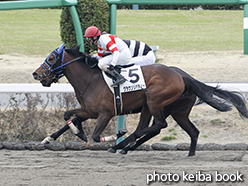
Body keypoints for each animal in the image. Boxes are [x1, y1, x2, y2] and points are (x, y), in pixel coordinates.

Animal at [32, 44, 248, 156]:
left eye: (51, 58)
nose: (36, 74)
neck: (90, 79)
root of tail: (183, 77)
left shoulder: (105, 113)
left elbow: (95, 135)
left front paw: (113, 135)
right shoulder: (89, 111)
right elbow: (68, 116)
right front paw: (56, 136)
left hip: (155, 101)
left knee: (157, 125)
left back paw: (120, 145)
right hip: (174, 111)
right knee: (187, 131)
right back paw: (189, 154)